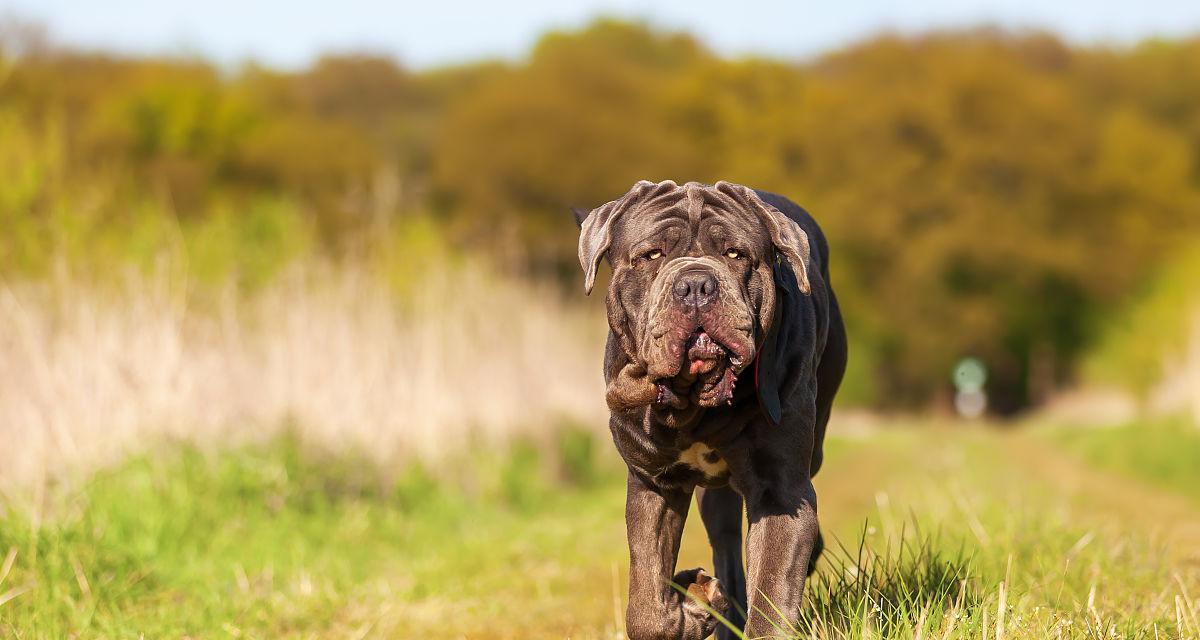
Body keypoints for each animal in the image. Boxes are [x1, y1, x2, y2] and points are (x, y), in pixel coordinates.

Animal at [576, 177, 849, 633]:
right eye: (652, 255)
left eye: (735, 254)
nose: (696, 285)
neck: (694, 406)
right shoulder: (653, 482)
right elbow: (647, 601)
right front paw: (692, 604)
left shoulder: (781, 490)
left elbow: (772, 594)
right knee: (725, 542)